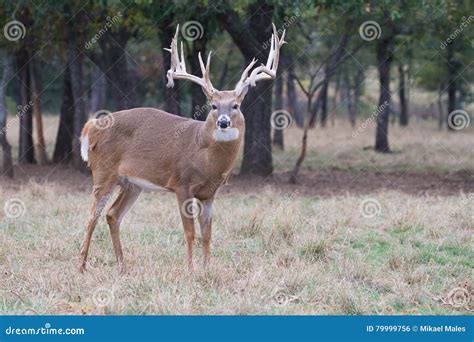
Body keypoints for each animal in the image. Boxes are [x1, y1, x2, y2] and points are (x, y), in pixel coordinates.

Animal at [79, 23, 286, 276]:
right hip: (103, 172)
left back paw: (122, 266)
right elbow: (190, 232)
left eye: (236, 105)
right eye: (213, 105)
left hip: (131, 183)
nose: (223, 122)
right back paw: (82, 265)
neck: (206, 158)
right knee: (92, 215)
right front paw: (190, 269)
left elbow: (207, 233)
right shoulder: (182, 185)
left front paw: (207, 268)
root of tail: (91, 126)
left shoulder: (209, 193)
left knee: (112, 215)